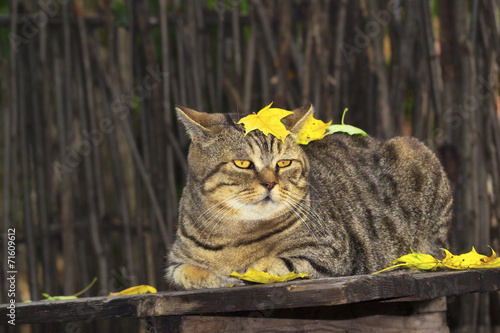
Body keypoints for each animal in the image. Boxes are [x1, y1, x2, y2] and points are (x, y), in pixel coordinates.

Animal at [165, 104, 454, 288]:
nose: (270, 183)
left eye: (284, 163)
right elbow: (185, 272)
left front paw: (245, 270)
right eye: (243, 164)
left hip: (413, 152)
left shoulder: (333, 253)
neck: (234, 234)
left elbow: (273, 264)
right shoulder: (175, 263)